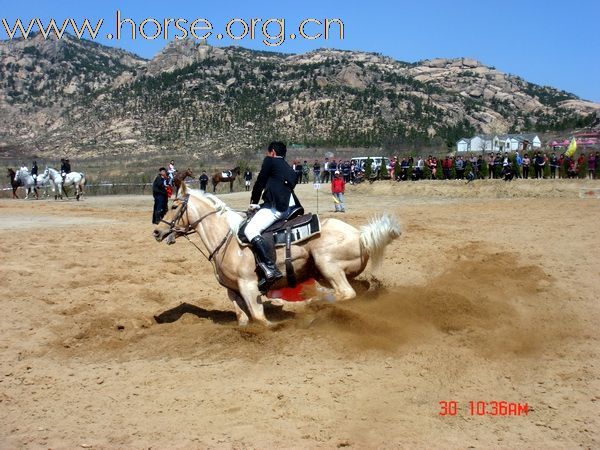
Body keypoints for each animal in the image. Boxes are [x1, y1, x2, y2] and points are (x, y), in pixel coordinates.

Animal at [154, 185, 404, 326]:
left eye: (175, 206)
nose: (157, 231)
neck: (228, 240)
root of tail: (360, 235)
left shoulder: (249, 287)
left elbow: (259, 319)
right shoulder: (232, 291)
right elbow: (243, 319)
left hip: (327, 265)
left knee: (345, 293)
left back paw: (311, 307)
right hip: (327, 273)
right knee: (360, 291)